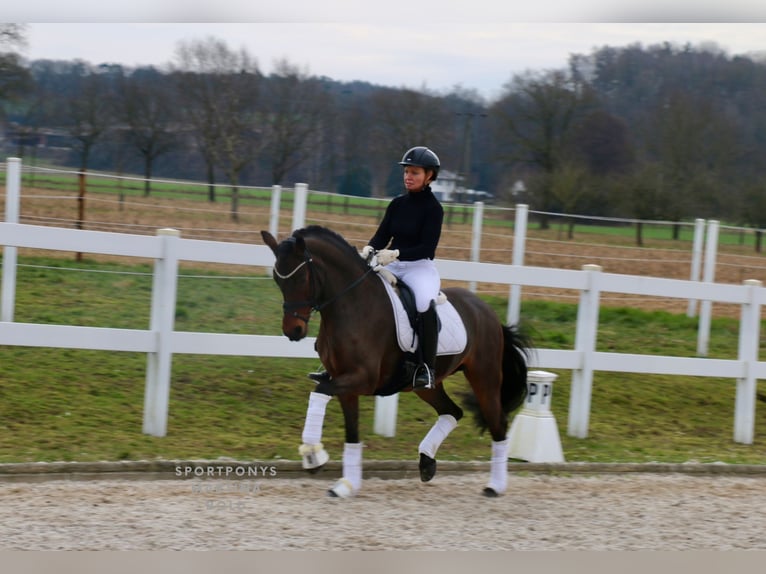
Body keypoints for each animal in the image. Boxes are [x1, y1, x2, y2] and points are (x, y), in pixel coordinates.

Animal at [260, 226, 532, 500]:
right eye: (278, 280)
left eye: (300, 278)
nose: (293, 331)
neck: (352, 304)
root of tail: (487, 312)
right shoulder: (345, 384)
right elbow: (351, 432)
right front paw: (347, 484)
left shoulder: (363, 379)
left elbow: (319, 392)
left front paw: (313, 455)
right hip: (429, 386)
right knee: (452, 412)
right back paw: (426, 462)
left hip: (484, 377)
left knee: (497, 423)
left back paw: (495, 486)